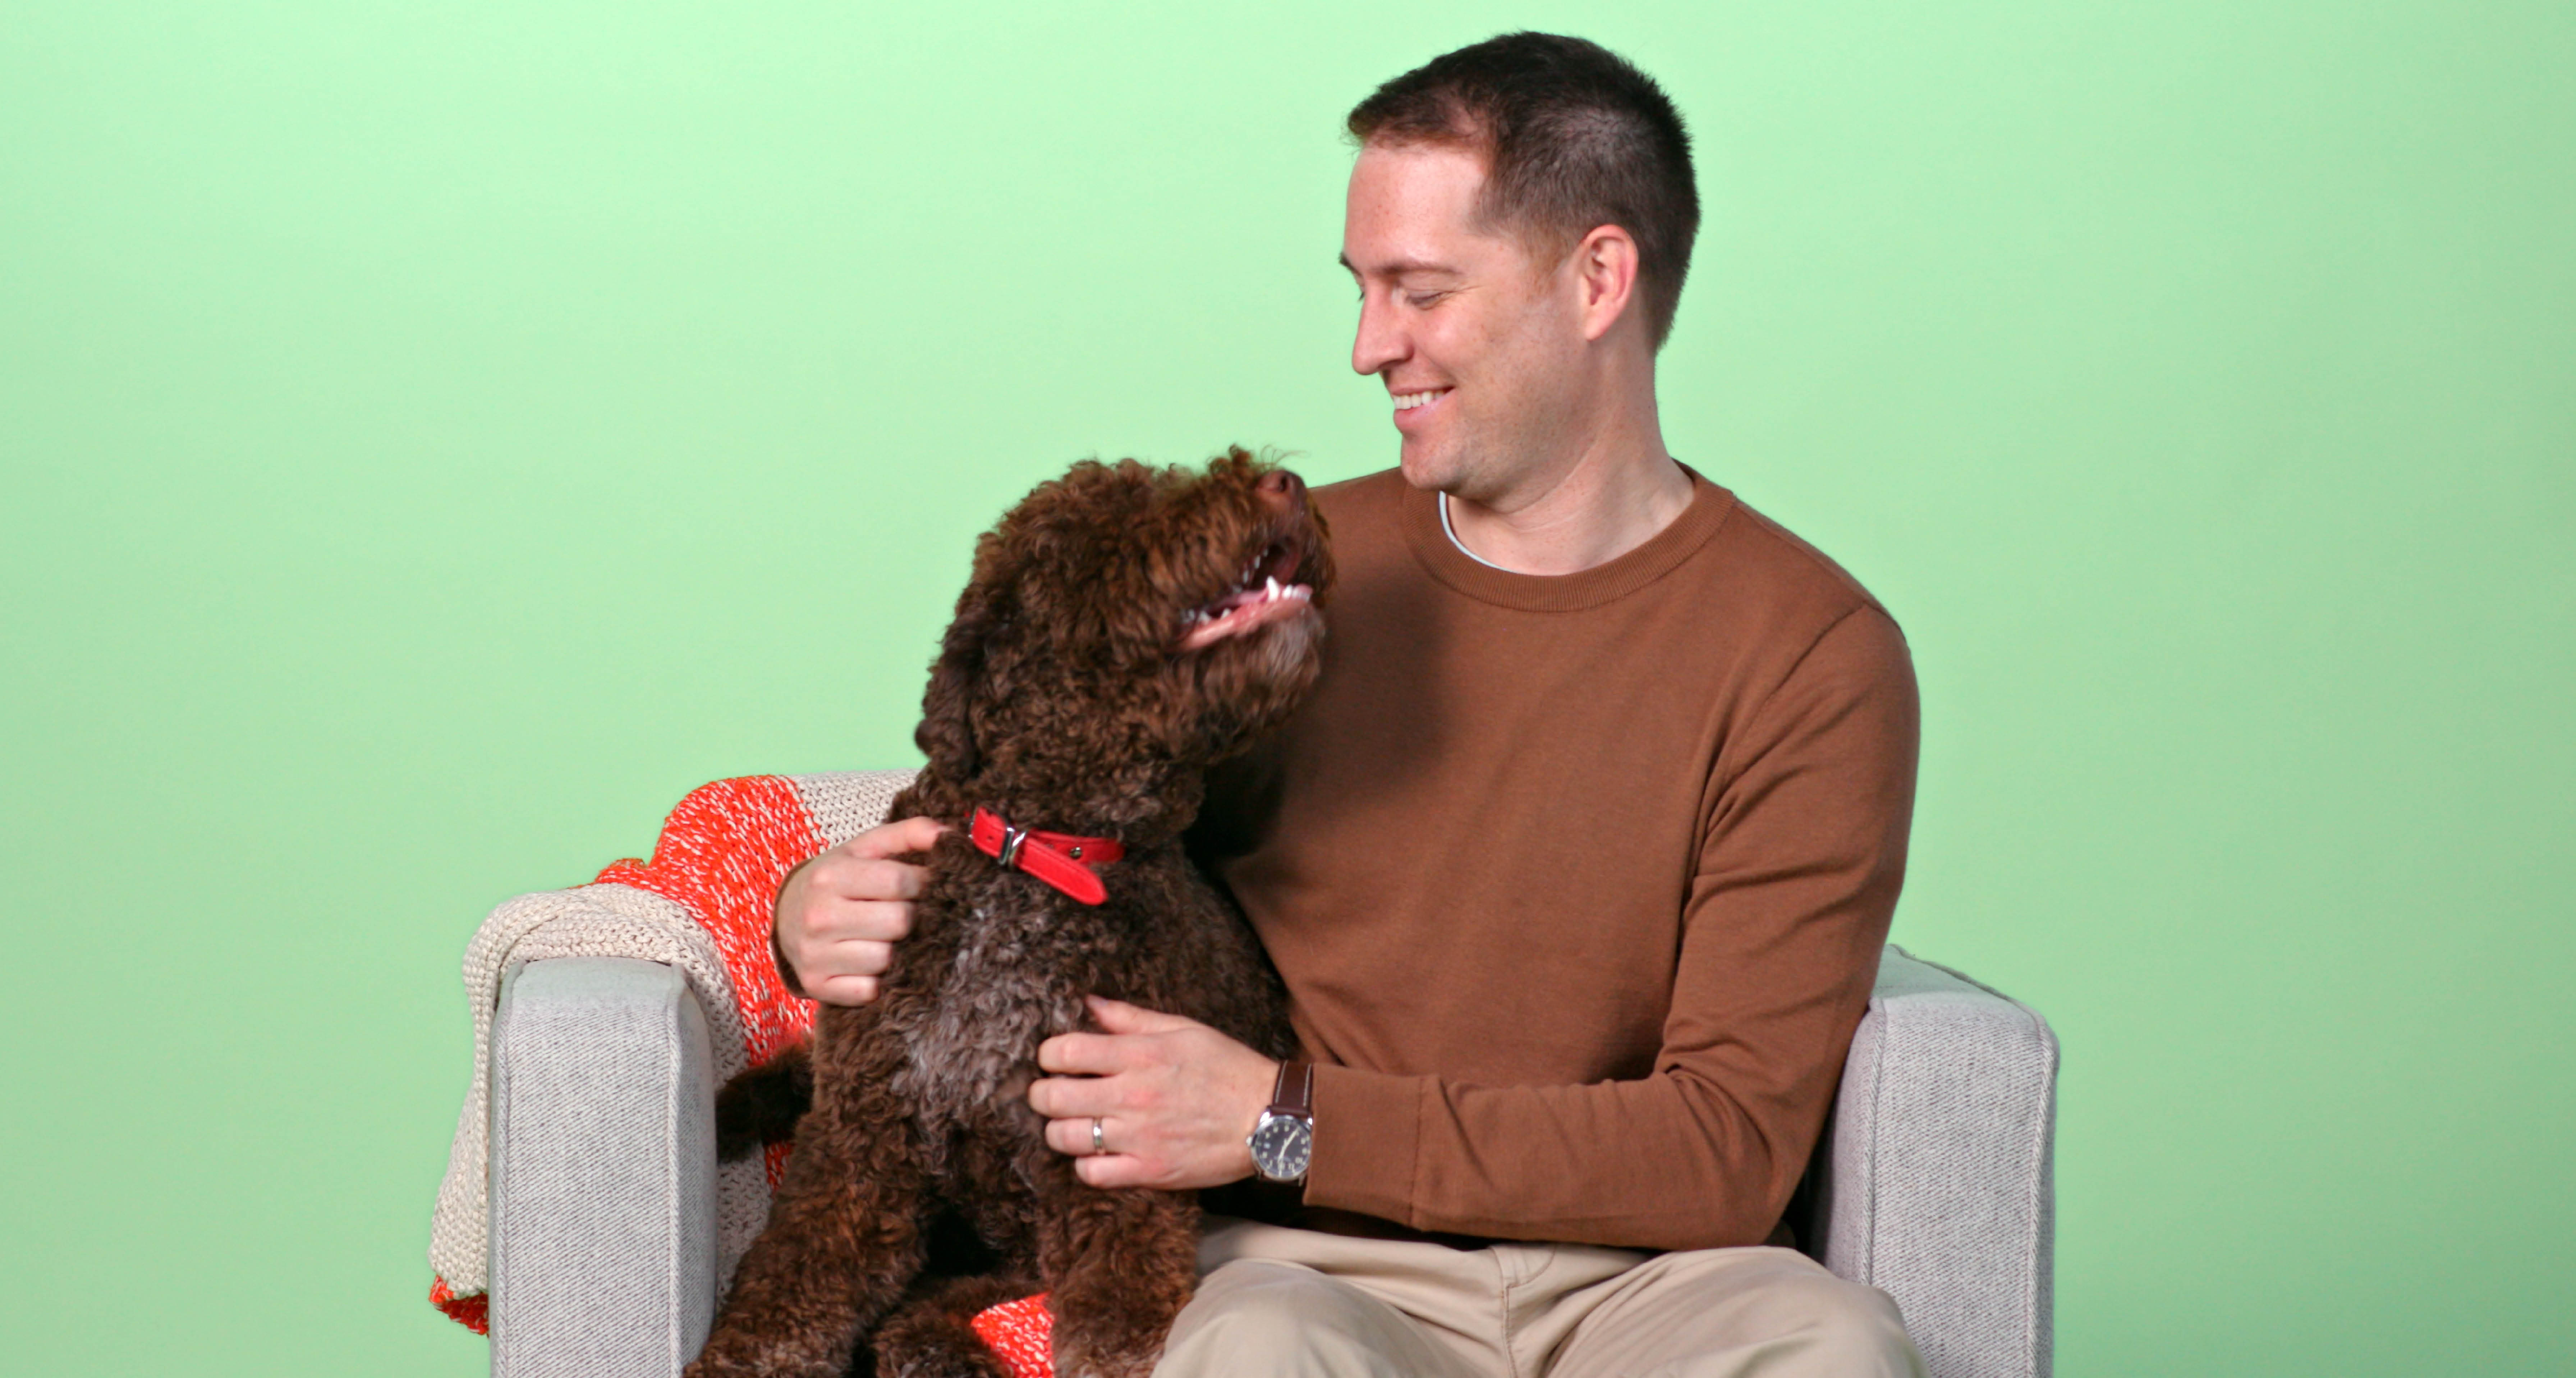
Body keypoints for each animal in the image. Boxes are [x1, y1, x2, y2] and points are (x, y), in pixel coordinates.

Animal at [685, 453, 1329, 1378]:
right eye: (1121, 510)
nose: (1285, 484)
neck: (1036, 854)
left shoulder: (1112, 1174)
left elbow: (1109, 1330)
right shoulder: (858, 1149)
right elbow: (785, 1298)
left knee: (917, 1315)